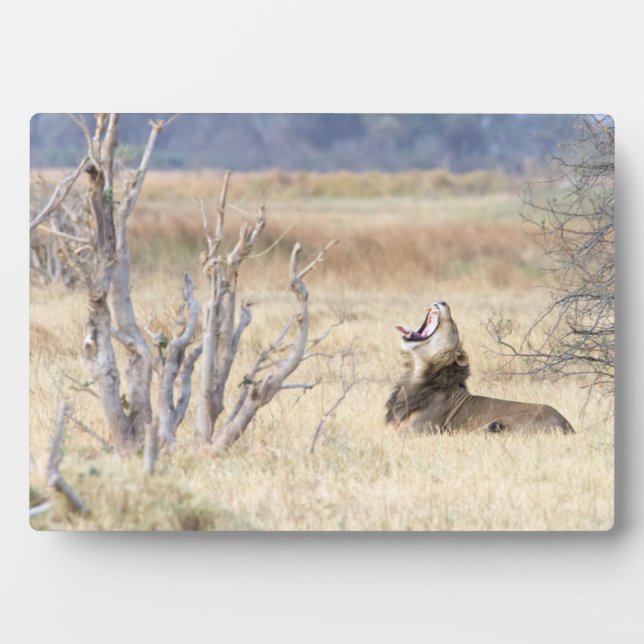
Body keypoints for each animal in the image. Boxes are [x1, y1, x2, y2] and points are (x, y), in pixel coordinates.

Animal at [385, 301, 574, 435]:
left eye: (453, 324)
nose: (443, 302)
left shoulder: (415, 432)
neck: (417, 373)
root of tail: (568, 426)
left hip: (495, 424)